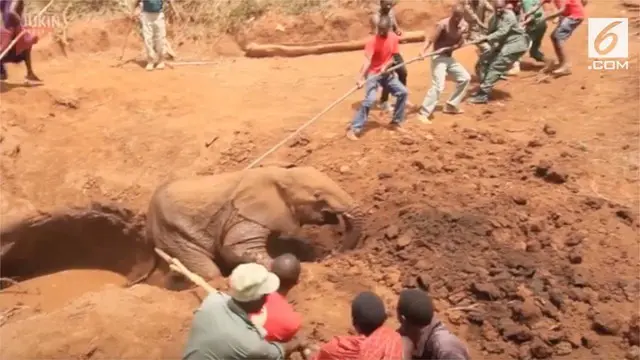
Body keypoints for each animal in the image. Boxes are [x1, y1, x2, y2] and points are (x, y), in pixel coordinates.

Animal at [134, 165, 364, 286]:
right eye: (317, 196)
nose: (332, 253)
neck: (281, 174)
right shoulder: (244, 214)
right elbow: (236, 248)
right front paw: (285, 266)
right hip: (172, 233)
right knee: (209, 272)